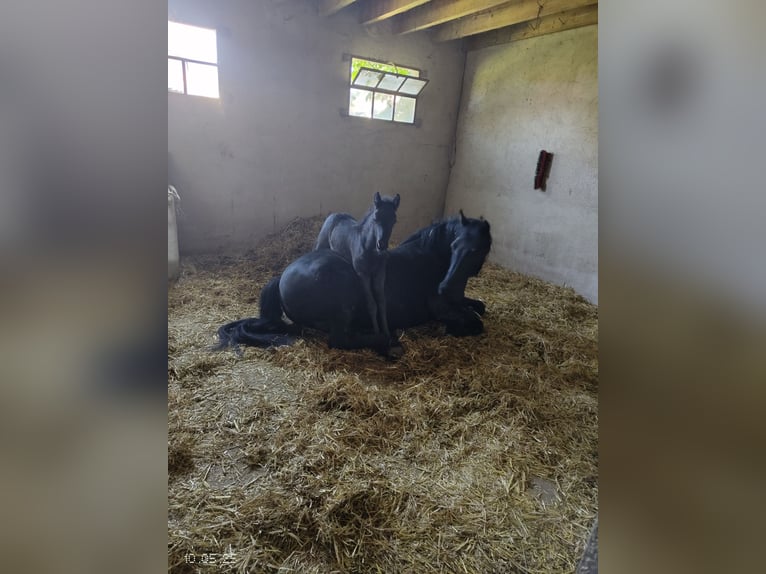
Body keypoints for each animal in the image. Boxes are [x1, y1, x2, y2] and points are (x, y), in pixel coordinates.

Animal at [216, 210, 492, 358]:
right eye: (454, 246)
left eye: (476, 250)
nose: (445, 287)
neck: (431, 258)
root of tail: (283, 275)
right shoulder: (441, 308)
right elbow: (476, 322)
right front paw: (455, 328)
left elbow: (480, 306)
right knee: (339, 340)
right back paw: (386, 341)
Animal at [314, 192, 400, 339]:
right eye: (376, 218)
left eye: (394, 220)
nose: (381, 245)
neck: (368, 248)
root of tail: (335, 214)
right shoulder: (362, 274)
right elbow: (371, 304)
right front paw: (377, 333)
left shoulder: (379, 273)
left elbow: (382, 302)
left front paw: (387, 332)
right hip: (321, 243)